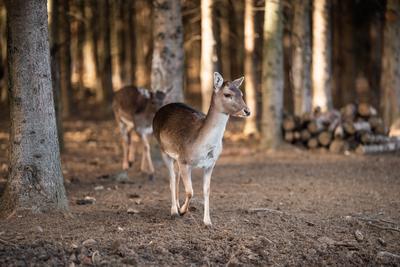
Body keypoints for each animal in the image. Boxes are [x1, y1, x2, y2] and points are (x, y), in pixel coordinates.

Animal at [153, 71, 250, 226]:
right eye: (227, 94)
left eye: (241, 93)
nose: (247, 111)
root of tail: (160, 110)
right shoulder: (184, 160)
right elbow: (190, 191)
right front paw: (182, 211)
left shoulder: (210, 164)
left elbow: (207, 190)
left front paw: (207, 221)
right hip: (164, 150)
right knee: (172, 179)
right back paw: (174, 210)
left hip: (176, 158)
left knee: (176, 176)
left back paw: (178, 205)